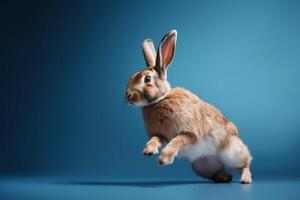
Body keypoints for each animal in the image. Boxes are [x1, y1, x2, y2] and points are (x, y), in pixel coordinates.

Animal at [125, 28, 252, 184]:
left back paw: (245, 179)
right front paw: (148, 150)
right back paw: (223, 177)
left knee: (246, 163)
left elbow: (177, 141)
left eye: (147, 79)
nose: (128, 95)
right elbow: (155, 139)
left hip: (233, 153)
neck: (160, 100)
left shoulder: (190, 133)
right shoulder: (161, 135)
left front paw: (163, 159)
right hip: (201, 166)